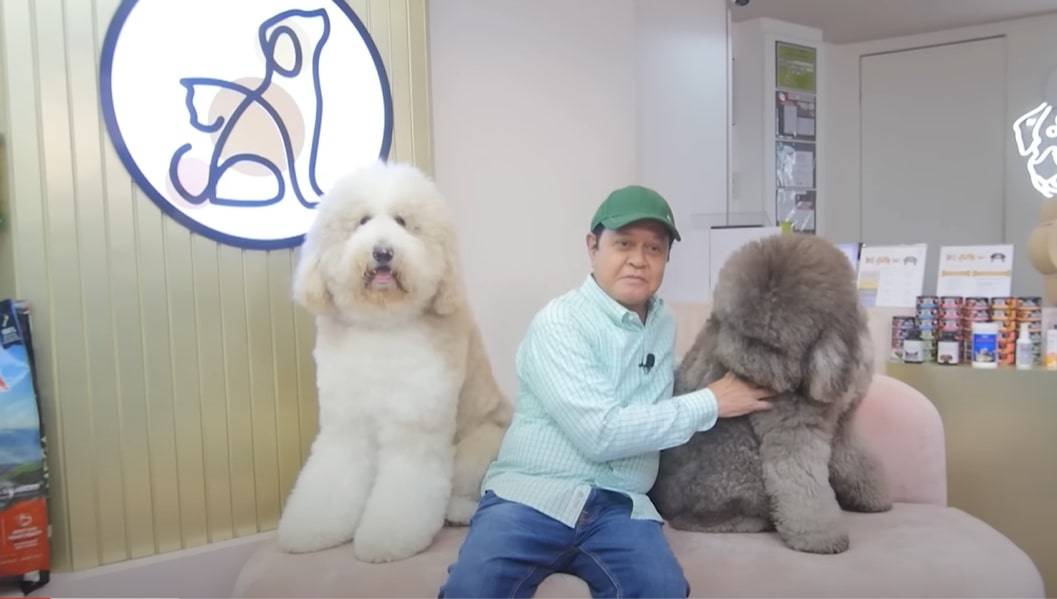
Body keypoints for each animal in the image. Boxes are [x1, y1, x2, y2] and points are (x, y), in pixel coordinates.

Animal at [276, 162, 511, 562]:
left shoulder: (414, 429)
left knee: (468, 491)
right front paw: (311, 529)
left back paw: (456, 511)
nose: (383, 252)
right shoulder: (346, 423)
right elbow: (332, 476)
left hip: (480, 445)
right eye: (362, 220)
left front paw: (386, 540)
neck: (382, 325)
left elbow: (406, 488)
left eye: (402, 221)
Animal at [651, 233, 892, 553]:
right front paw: (821, 538)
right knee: (702, 519)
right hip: (739, 464)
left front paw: (874, 498)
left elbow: (853, 459)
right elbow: (801, 482)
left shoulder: (845, 422)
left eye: (773, 345)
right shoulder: (792, 432)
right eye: (733, 326)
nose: (735, 364)